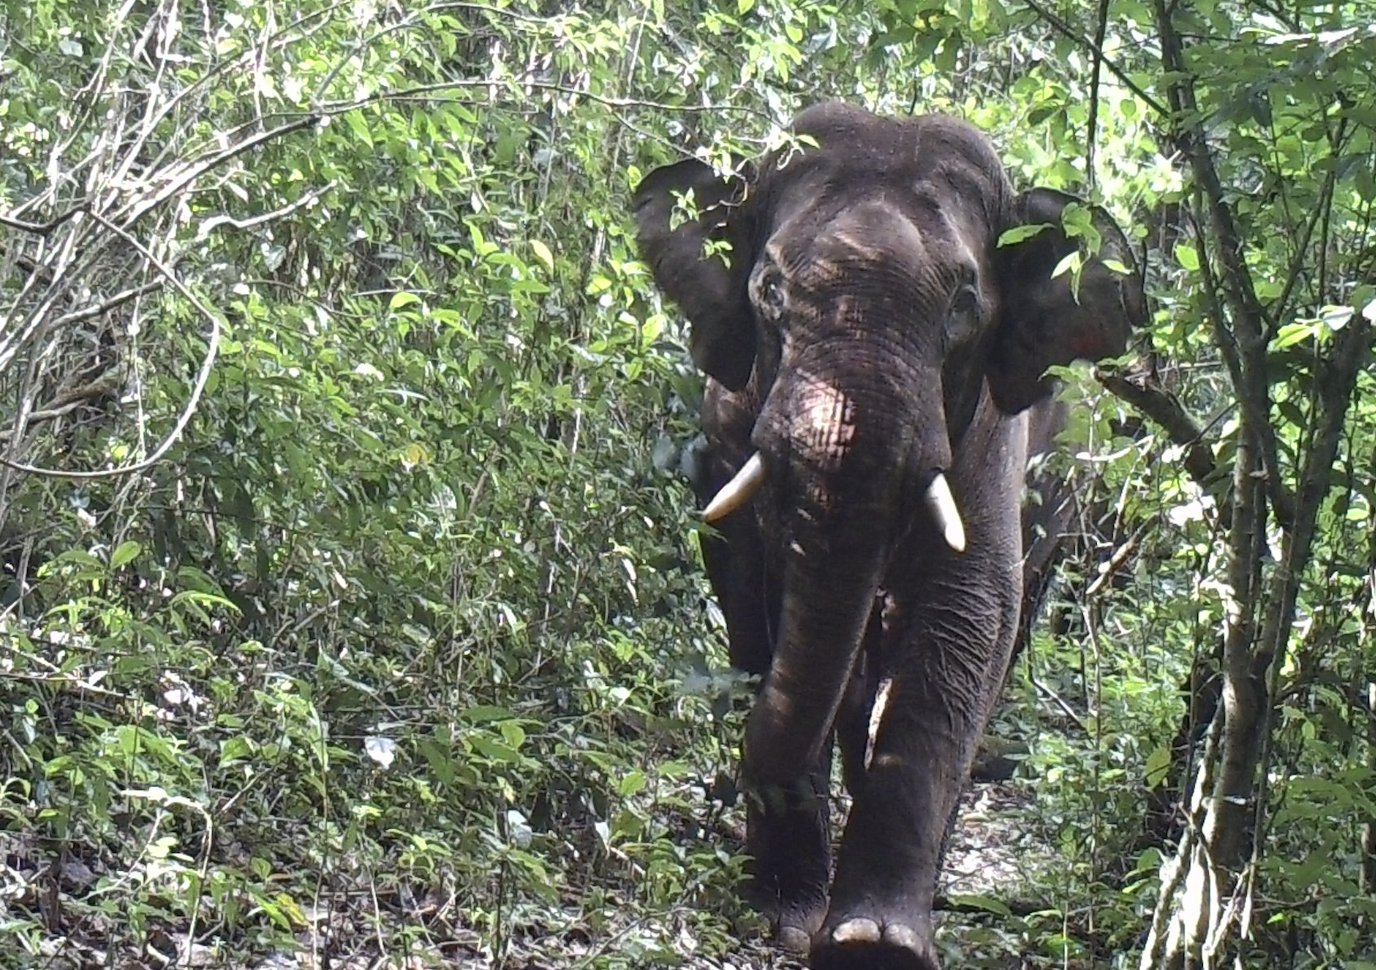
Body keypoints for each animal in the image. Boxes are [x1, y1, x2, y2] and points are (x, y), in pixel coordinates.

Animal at [632, 102, 1146, 970]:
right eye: (769, 289)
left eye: (964, 304)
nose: (745, 780)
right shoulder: (729, 426)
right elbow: (755, 593)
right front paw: (786, 914)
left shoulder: (992, 437)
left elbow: (969, 611)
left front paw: (874, 943)